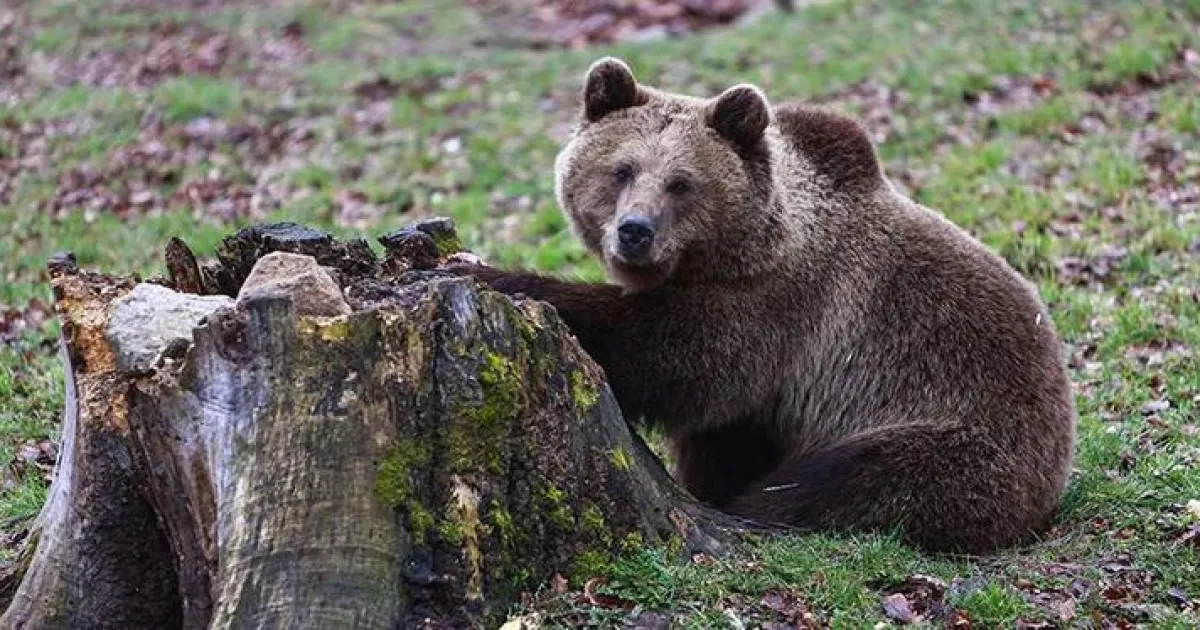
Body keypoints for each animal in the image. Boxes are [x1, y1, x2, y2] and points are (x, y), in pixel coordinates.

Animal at [450, 57, 1077, 554]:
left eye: (681, 183)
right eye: (621, 169)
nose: (635, 231)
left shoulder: (775, 309)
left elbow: (675, 358)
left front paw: (487, 271)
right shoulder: (756, 399)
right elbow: (716, 430)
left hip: (959, 437)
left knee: (847, 481)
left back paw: (754, 511)